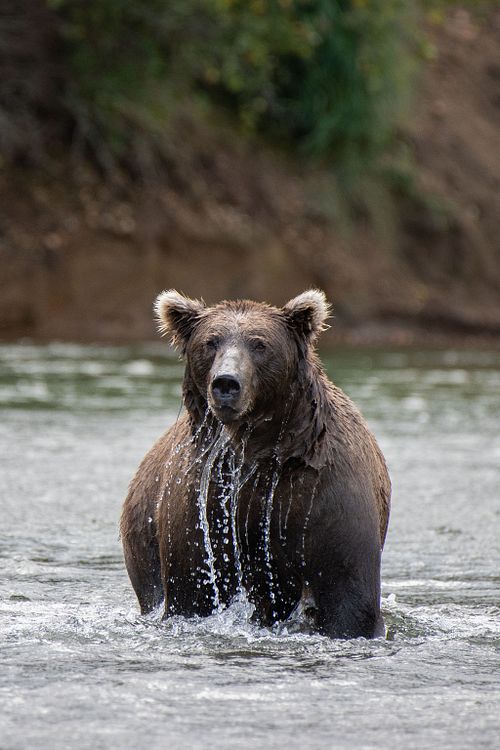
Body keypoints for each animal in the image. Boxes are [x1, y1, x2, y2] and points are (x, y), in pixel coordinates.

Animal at [120, 289, 391, 639]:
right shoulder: (202, 501)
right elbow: (192, 591)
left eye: (260, 344)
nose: (226, 383)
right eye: (210, 342)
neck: (259, 453)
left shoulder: (327, 494)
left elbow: (348, 595)